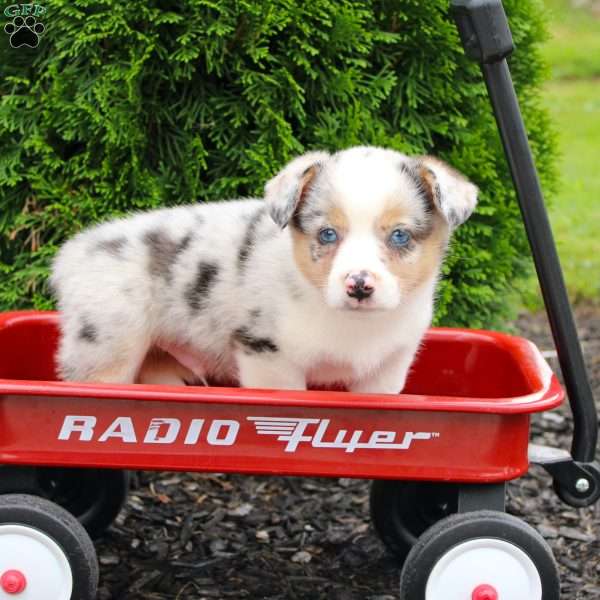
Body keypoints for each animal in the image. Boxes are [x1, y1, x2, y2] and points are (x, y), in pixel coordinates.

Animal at [50, 146, 478, 394]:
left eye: (400, 236)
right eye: (327, 234)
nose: (359, 286)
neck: (351, 324)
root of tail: (70, 255)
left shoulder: (387, 367)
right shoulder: (266, 354)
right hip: (107, 344)